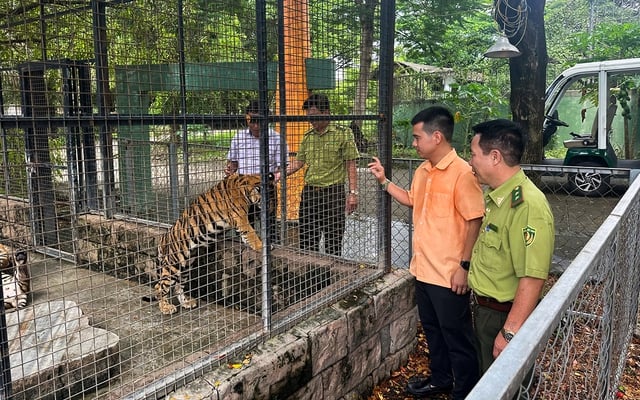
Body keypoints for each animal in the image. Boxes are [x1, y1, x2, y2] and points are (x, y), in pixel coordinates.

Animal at [157, 173, 276, 314]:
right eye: (270, 201)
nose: (272, 211)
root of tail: (163, 238)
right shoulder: (241, 220)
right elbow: (251, 234)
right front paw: (262, 246)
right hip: (174, 264)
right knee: (160, 286)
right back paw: (165, 307)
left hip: (186, 265)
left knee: (178, 286)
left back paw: (187, 303)